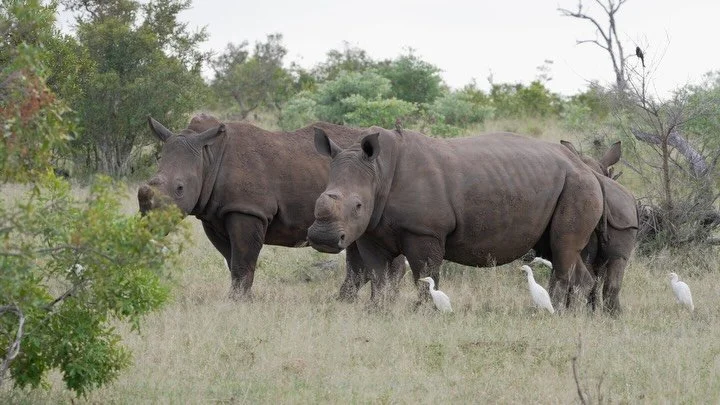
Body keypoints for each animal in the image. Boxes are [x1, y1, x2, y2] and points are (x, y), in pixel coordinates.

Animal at [137, 115, 404, 299]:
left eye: (180, 189)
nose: (148, 223)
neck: (208, 157)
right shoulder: (214, 215)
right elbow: (232, 261)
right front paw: (239, 299)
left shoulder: (247, 209)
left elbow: (242, 262)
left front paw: (238, 303)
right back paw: (347, 301)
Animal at [308, 126, 606, 310]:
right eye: (318, 196)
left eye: (358, 205)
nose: (323, 238)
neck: (378, 171)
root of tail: (586, 167)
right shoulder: (371, 231)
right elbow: (377, 275)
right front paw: (377, 310)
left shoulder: (424, 231)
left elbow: (425, 273)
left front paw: (422, 311)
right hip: (565, 185)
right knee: (560, 250)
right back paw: (572, 313)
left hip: (578, 186)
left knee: (562, 249)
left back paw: (558, 310)